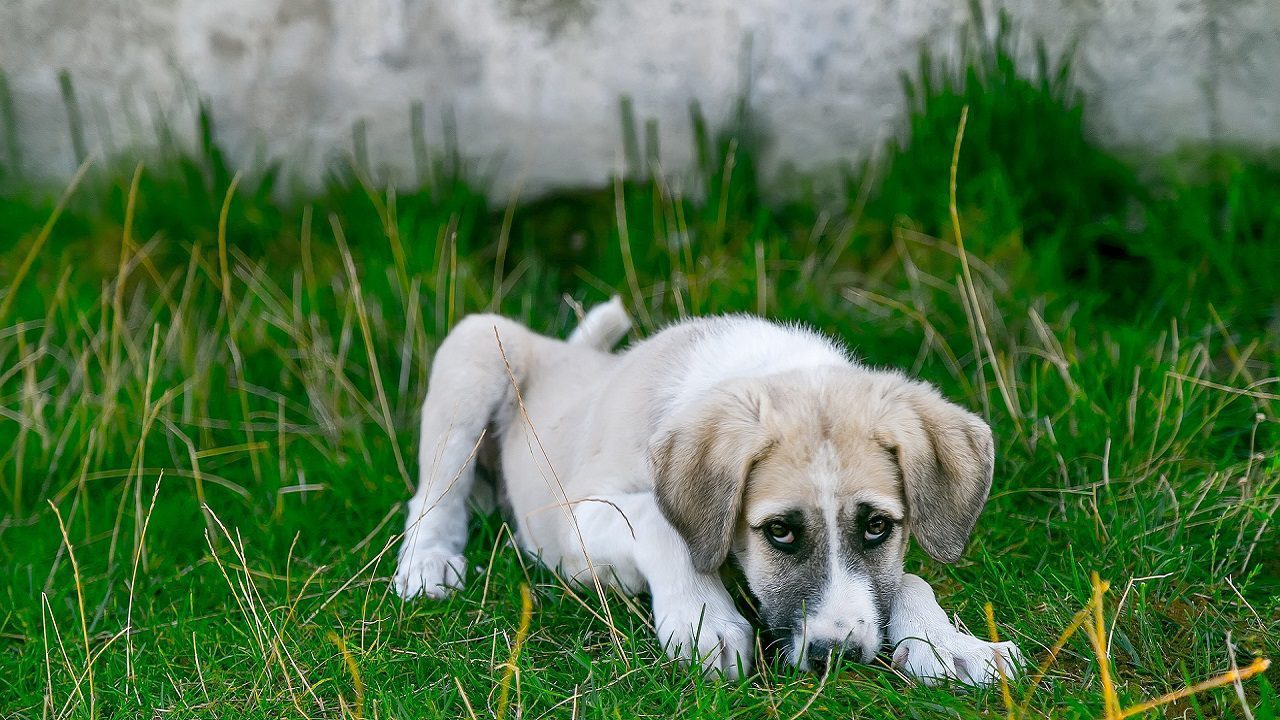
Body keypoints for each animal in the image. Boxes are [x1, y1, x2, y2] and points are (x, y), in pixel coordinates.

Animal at [389, 299, 1018, 681]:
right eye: (779, 531)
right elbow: (660, 523)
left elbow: (907, 578)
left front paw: (950, 643)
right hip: (476, 346)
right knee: (433, 493)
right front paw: (703, 619)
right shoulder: (578, 519)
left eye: (878, 527)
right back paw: (428, 562)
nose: (834, 657)